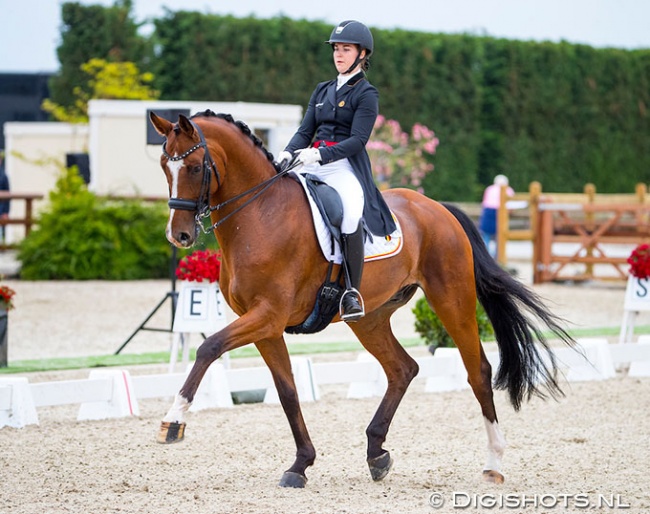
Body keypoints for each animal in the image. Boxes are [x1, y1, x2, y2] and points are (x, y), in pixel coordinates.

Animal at [148, 110, 572, 486]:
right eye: (164, 165)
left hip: (452, 300)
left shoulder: (267, 315)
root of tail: (437, 208)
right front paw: (300, 464)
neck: (260, 215)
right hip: (370, 317)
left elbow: (209, 348)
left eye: (195, 167)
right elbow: (287, 392)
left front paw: (173, 421)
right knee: (402, 369)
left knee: (478, 371)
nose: (179, 236)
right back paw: (376, 454)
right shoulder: (265, 326)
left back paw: (493, 463)